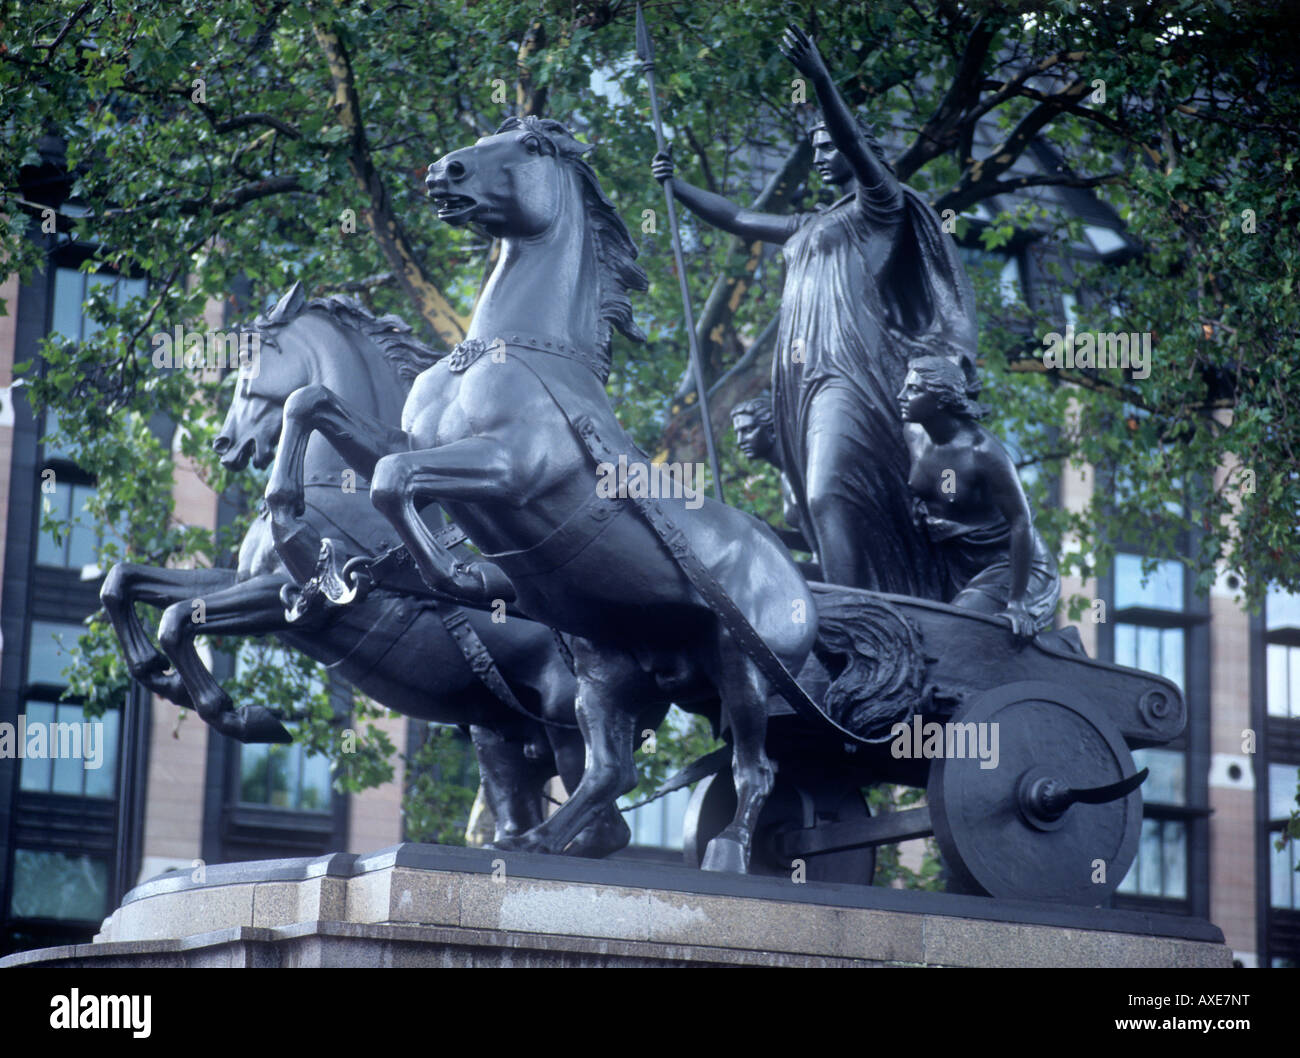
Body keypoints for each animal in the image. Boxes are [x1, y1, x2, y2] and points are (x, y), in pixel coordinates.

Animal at [265, 118, 816, 878]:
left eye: (527, 148)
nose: (443, 171)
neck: (512, 350)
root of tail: (800, 586)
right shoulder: (404, 436)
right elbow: (313, 404)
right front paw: (299, 540)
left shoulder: (509, 467)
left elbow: (393, 479)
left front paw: (454, 575)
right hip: (606, 668)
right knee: (612, 770)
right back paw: (539, 844)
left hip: (742, 665)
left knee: (752, 767)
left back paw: (726, 855)